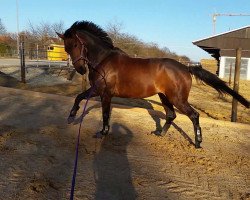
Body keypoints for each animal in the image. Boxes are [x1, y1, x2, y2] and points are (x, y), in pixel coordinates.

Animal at [57, 21, 250, 148]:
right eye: (66, 48)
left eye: (75, 44)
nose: (80, 69)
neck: (104, 59)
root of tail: (186, 68)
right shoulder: (100, 91)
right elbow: (81, 98)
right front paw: (72, 117)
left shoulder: (102, 91)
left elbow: (98, 110)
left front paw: (96, 129)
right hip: (165, 97)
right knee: (171, 115)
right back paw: (160, 133)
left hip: (177, 99)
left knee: (194, 115)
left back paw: (197, 142)